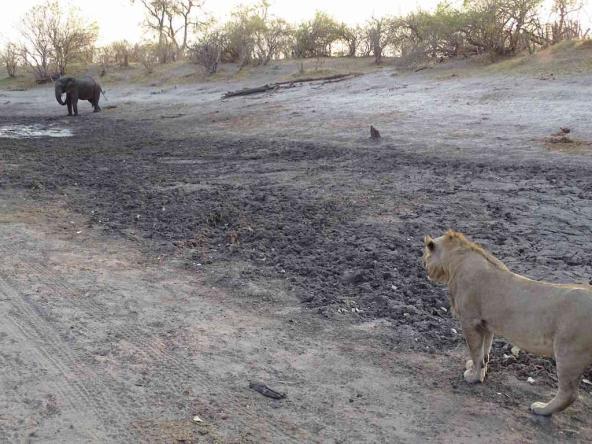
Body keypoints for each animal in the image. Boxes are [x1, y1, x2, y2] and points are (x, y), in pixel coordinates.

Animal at [420, 231, 592, 414]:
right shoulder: (485, 324)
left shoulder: (469, 321)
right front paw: (478, 372)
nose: (425, 268)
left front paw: (473, 377)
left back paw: (542, 409)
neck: (456, 260)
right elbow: (484, 352)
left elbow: (475, 352)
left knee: (569, 393)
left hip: (569, 353)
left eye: (425, 256)